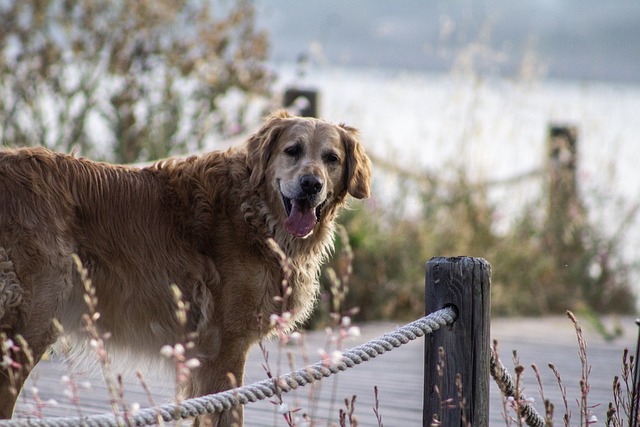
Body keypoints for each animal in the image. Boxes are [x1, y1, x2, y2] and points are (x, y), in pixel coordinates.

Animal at [0, 109, 372, 424]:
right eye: (292, 150)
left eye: (332, 159)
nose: (312, 184)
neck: (254, 214)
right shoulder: (226, 349)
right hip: (31, 325)